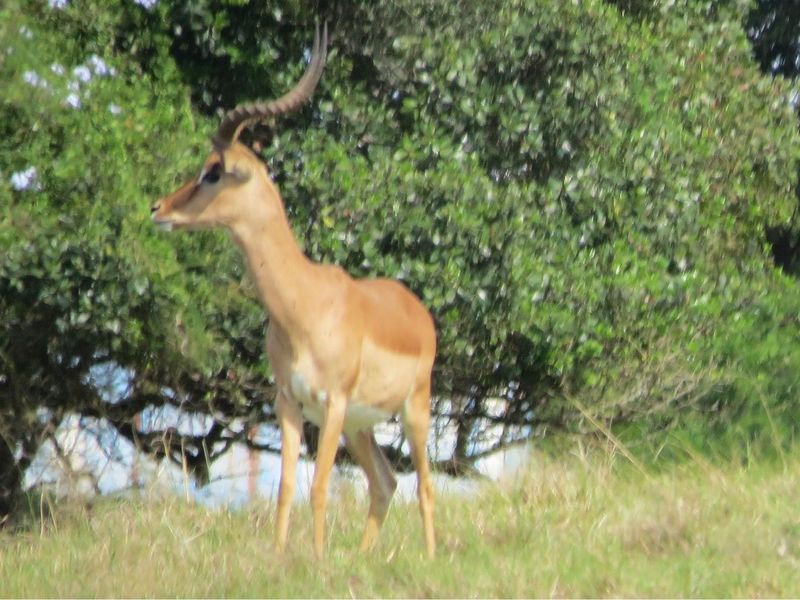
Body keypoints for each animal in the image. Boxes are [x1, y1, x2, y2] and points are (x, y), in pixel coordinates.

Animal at [150, 24, 437, 558]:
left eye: (213, 171)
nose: (159, 208)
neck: (304, 305)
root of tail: (416, 310)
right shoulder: (288, 403)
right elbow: (285, 486)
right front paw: (282, 558)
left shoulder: (332, 402)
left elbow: (319, 486)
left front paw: (318, 560)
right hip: (360, 427)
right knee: (385, 481)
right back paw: (362, 558)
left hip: (411, 411)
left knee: (423, 485)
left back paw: (429, 558)